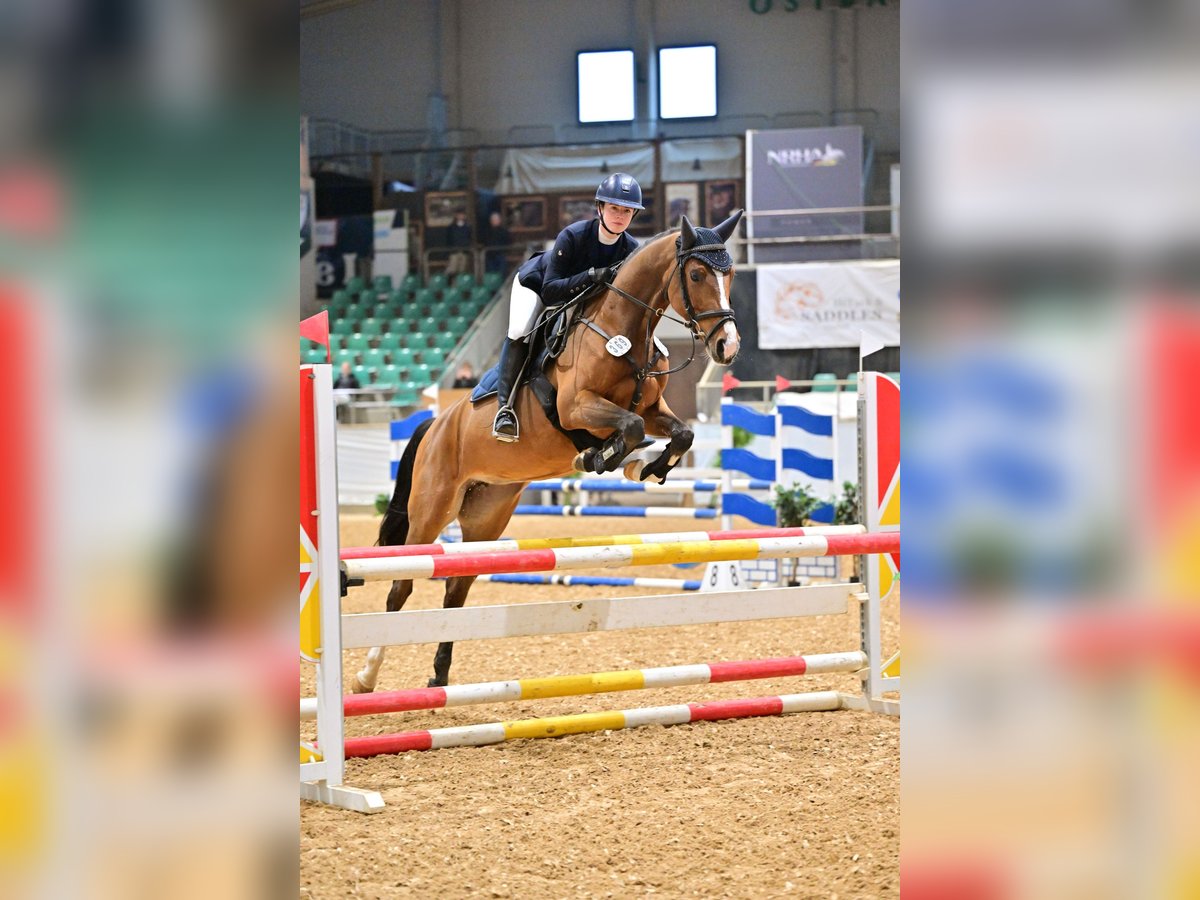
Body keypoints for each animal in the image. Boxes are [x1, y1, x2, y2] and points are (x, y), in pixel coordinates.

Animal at [350, 210, 739, 691]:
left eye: (730, 273)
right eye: (697, 274)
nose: (728, 347)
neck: (624, 327)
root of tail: (437, 423)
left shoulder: (651, 410)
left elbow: (679, 434)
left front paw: (644, 467)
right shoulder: (577, 407)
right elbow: (626, 429)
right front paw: (599, 457)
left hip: (487, 516)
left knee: (456, 588)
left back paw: (439, 678)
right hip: (431, 508)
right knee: (402, 584)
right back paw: (366, 676)